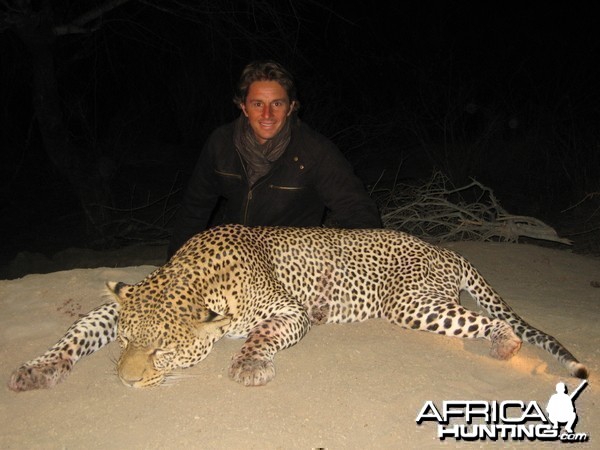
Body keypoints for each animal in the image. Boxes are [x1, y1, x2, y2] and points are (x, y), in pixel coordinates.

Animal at [7, 225, 588, 390]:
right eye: (129, 343)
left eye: (164, 353)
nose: (126, 382)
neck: (196, 275)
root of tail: (451, 249)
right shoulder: (114, 313)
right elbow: (78, 332)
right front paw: (38, 368)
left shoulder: (290, 312)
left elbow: (261, 336)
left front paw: (248, 365)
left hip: (410, 302)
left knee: (494, 323)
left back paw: (505, 346)